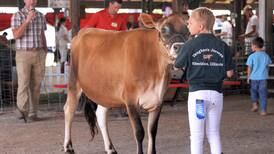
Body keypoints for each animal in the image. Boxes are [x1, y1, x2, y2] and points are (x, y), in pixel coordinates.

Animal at [64, 13, 188, 154]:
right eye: (163, 30)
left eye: (188, 30)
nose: (179, 47)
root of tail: (82, 32)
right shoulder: (131, 100)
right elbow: (139, 132)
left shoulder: (158, 101)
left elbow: (152, 131)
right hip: (74, 82)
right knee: (69, 110)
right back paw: (68, 147)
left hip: (105, 91)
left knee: (100, 115)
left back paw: (110, 149)